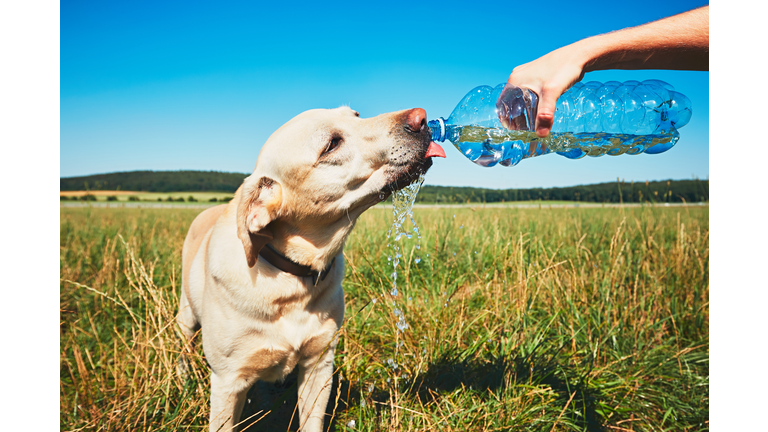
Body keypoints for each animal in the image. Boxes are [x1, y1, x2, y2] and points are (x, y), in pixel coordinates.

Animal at [178, 105, 448, 432]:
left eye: (356, 115)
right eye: (331, 144)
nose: (421, 117)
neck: (291, 279)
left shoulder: (319, 364)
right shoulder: (228, 381)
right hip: (185, 316)